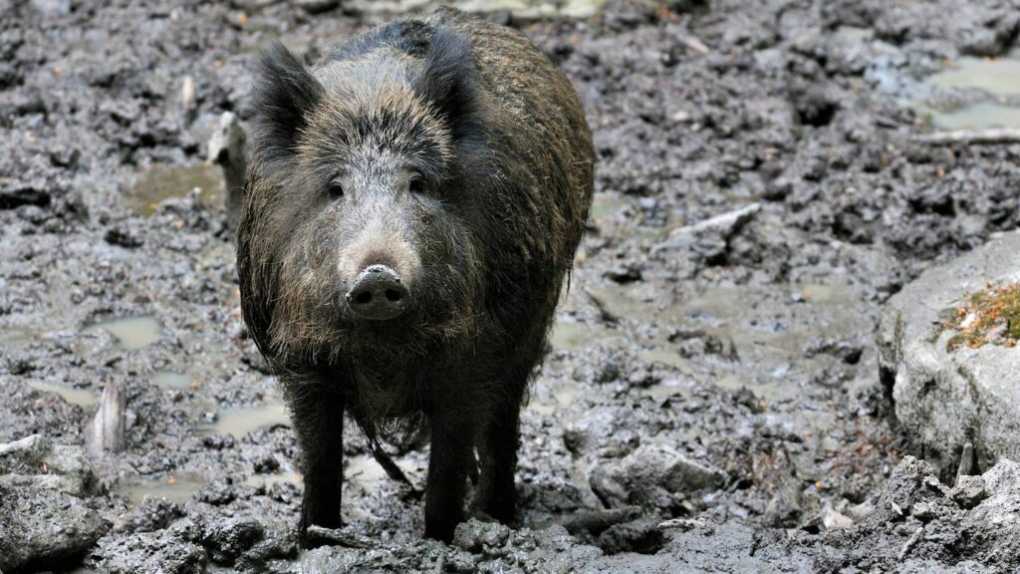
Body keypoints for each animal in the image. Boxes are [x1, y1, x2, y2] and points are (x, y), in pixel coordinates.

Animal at [237, 7, 594, 542]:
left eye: (418, 183)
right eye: (335, 188)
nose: (377, 273)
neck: (384, 350)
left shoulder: (475, 357)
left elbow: (446, 465)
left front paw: (440, 539)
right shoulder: (301, 358)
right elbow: (320, 456)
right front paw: (313, 535)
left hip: (531, 328)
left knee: (503, 426)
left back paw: (495, 516)